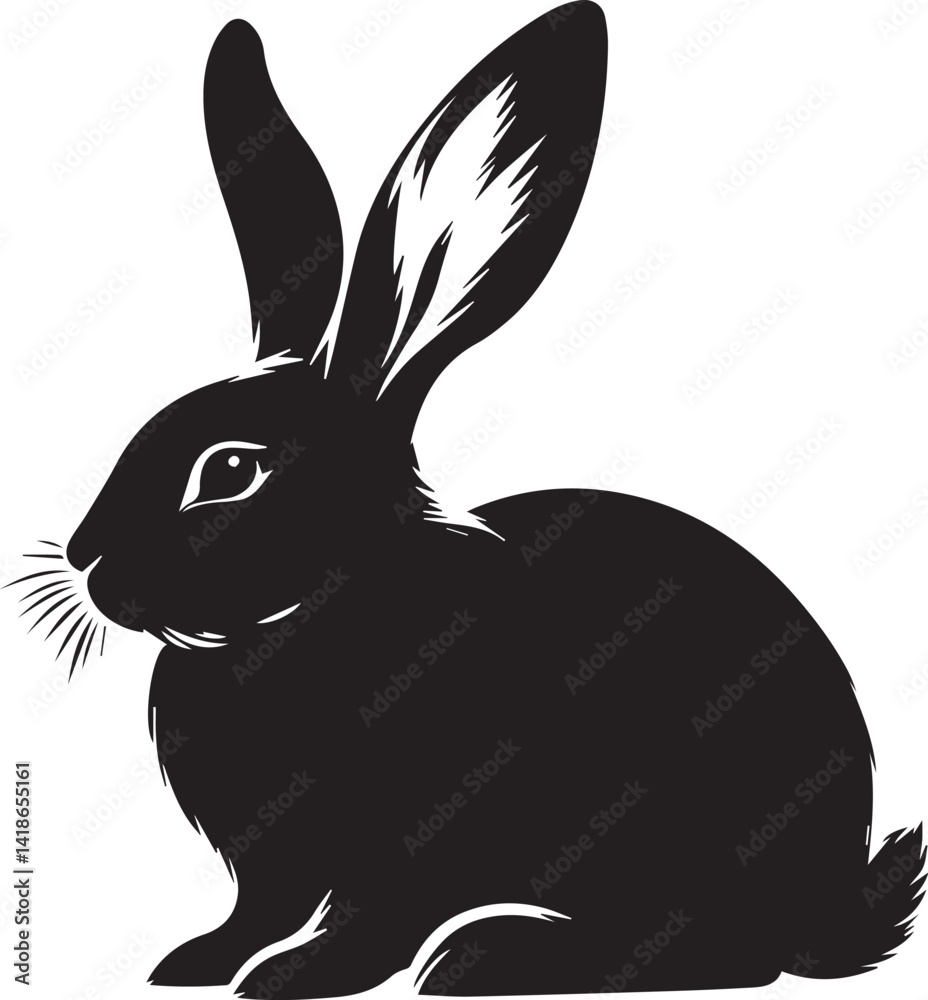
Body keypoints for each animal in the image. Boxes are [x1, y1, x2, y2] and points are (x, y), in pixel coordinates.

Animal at [10, 3, 922, 997]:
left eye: (230, 470)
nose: (85, 557)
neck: (321, 600)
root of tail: (832, 908)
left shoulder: (409, 836)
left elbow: (369, 921)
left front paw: (290, 978)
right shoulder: (272, 866)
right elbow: (259, 910)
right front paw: (195, 962)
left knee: (717, 950)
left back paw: (489, 957)